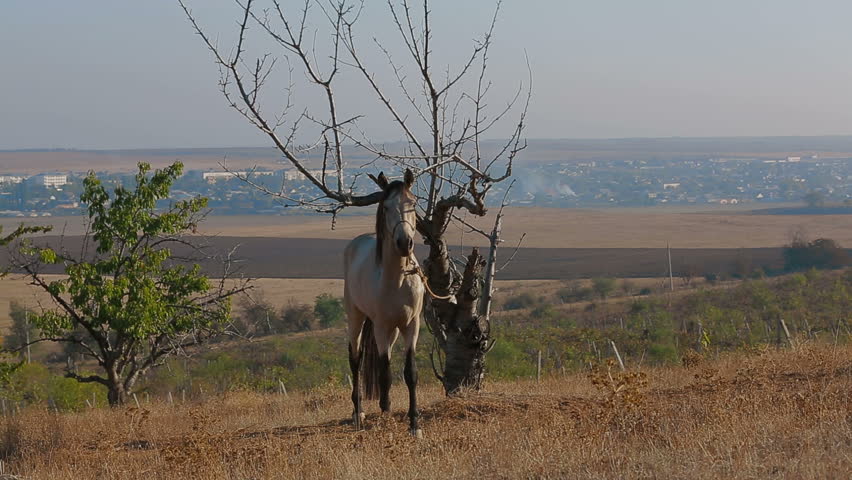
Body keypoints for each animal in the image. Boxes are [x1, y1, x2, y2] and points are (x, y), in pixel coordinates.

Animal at [343, 168, 424, 437]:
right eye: (386, 207)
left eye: (413, 203)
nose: (404, 243)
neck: (398, 279)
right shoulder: (380, 326)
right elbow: (385, 374)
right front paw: (387, 419)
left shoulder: (411, 325)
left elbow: (410, 373)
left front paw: (415, 424)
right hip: (356, 317)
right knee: (356, 359)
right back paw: (358, 413)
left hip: (393, 331)